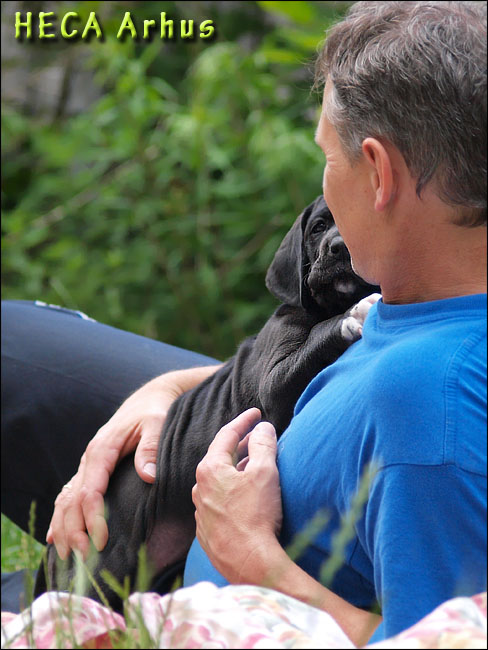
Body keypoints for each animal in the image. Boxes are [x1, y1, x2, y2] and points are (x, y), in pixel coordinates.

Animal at [35, 195, 380, 611]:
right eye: (318, 227)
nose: (339, 247)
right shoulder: (275, 382)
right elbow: (322, 336)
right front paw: (357, 313)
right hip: (101, 566)